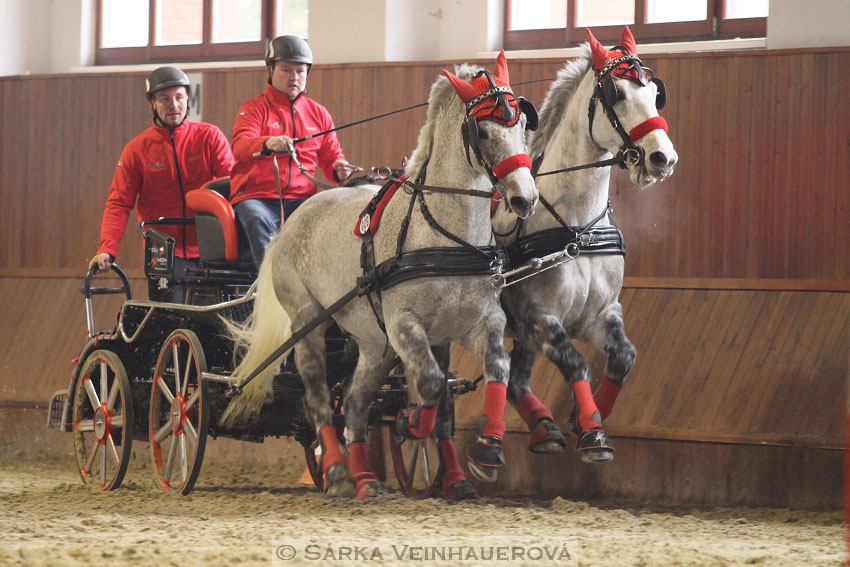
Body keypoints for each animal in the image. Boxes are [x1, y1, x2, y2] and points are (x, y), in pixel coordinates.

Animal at [222, 52, 532, 496]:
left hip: (374, 342)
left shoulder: (477, 324)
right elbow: (431, 386)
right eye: (484, 130)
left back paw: (365, 478)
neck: (447, 237)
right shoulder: (405, 326)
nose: (526, 198)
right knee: (318, 397)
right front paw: (410, 422)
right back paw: (337, 472)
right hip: (309, 323)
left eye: (522, 126)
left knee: (353, 401)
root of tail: (291, 222)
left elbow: (491, 373)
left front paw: (484, 454)